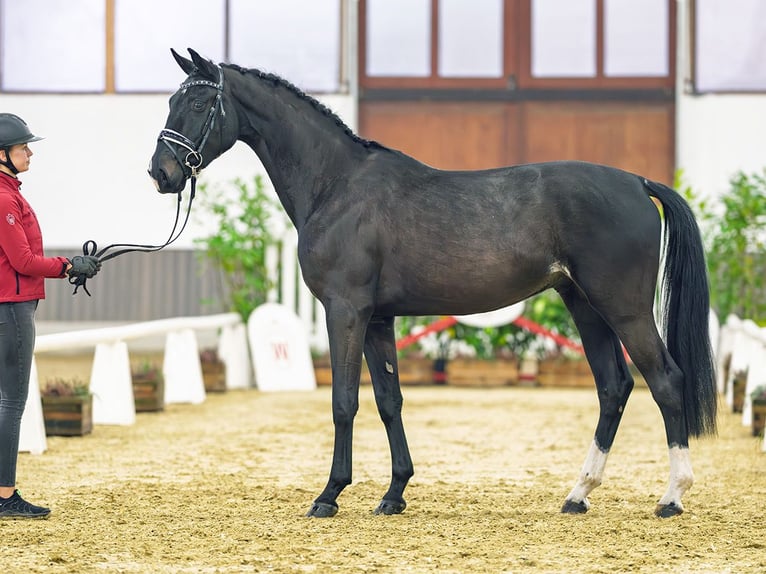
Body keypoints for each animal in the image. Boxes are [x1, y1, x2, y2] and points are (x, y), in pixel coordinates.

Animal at [150, 49, 720, 520]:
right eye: (172, 100)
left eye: (198, 102)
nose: (161, 173)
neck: (337, 186)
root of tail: (637, 183)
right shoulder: (378, 319)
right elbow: (389, 400)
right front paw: (394, 493)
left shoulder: (346, 310)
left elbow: (343, 400)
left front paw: (329, 495)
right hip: (584, 305)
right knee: (613, 387)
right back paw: (578, 495)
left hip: (622, 308)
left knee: (665, 381)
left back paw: (671, 497)